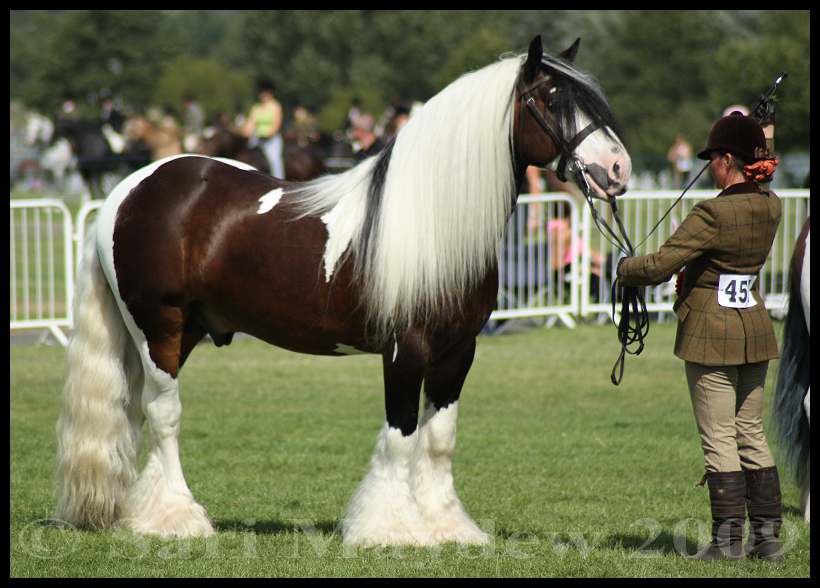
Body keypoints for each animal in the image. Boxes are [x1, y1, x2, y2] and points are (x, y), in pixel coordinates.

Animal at [56, 36, 636, 548]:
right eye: (554, 99)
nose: (618, 168)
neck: (433, 220)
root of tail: (128, 190)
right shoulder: (406, 351)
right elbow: (401, 437)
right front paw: (390, 530)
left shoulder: (457, 353)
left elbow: (439, 439)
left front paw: (447, 528)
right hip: (159, 328)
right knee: (164, 415)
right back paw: (176, 518)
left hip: (188, 330)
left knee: (137, 413)